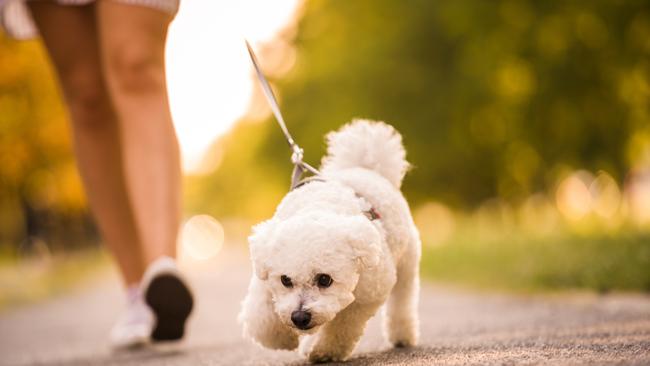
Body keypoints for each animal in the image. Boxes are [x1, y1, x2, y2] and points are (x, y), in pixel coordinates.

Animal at [238, 120, 420, 364]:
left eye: (325, 279)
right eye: (285, 280)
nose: (299, 317)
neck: (318, 205)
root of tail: (367, 168)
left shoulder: (369, 293)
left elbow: (342, 326)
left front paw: (324, 350)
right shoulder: (264, 279)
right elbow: (261, 318)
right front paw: (282, 337)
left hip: (407, 266)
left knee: (402, 300)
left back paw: (402, 336)